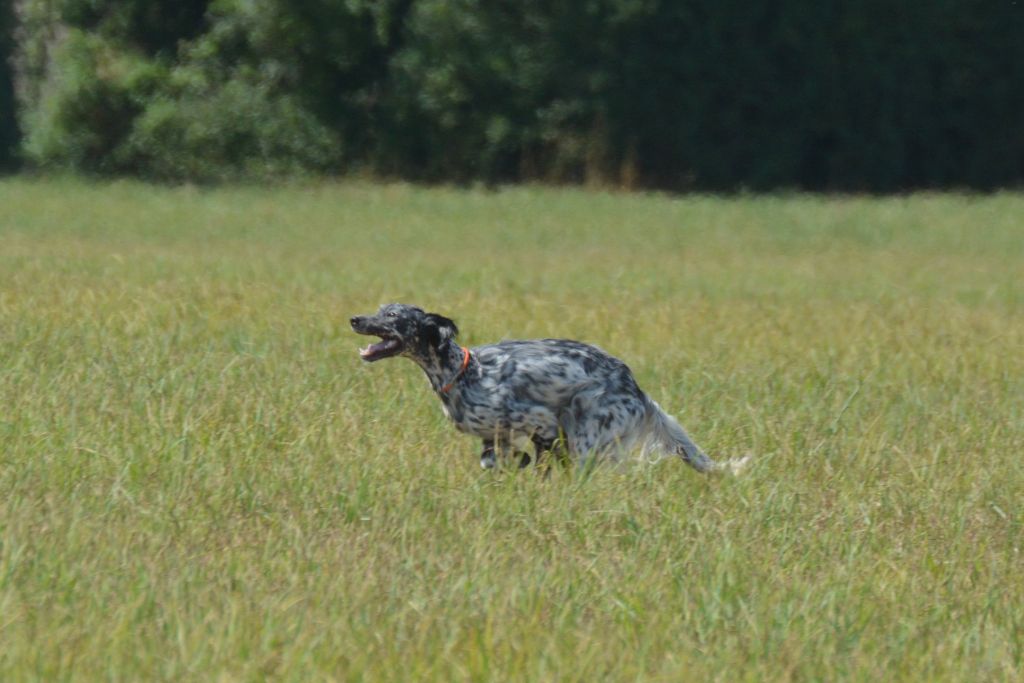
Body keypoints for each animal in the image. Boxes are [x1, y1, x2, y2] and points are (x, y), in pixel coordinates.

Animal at [348, 305, 749, 475]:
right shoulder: (495, 438)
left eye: (393, 316)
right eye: (380, 309)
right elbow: (496, 460)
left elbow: (538, 455)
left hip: (588, 432)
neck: (461, 373)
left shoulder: (540, 420)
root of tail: (637, 389)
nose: (355, 319)